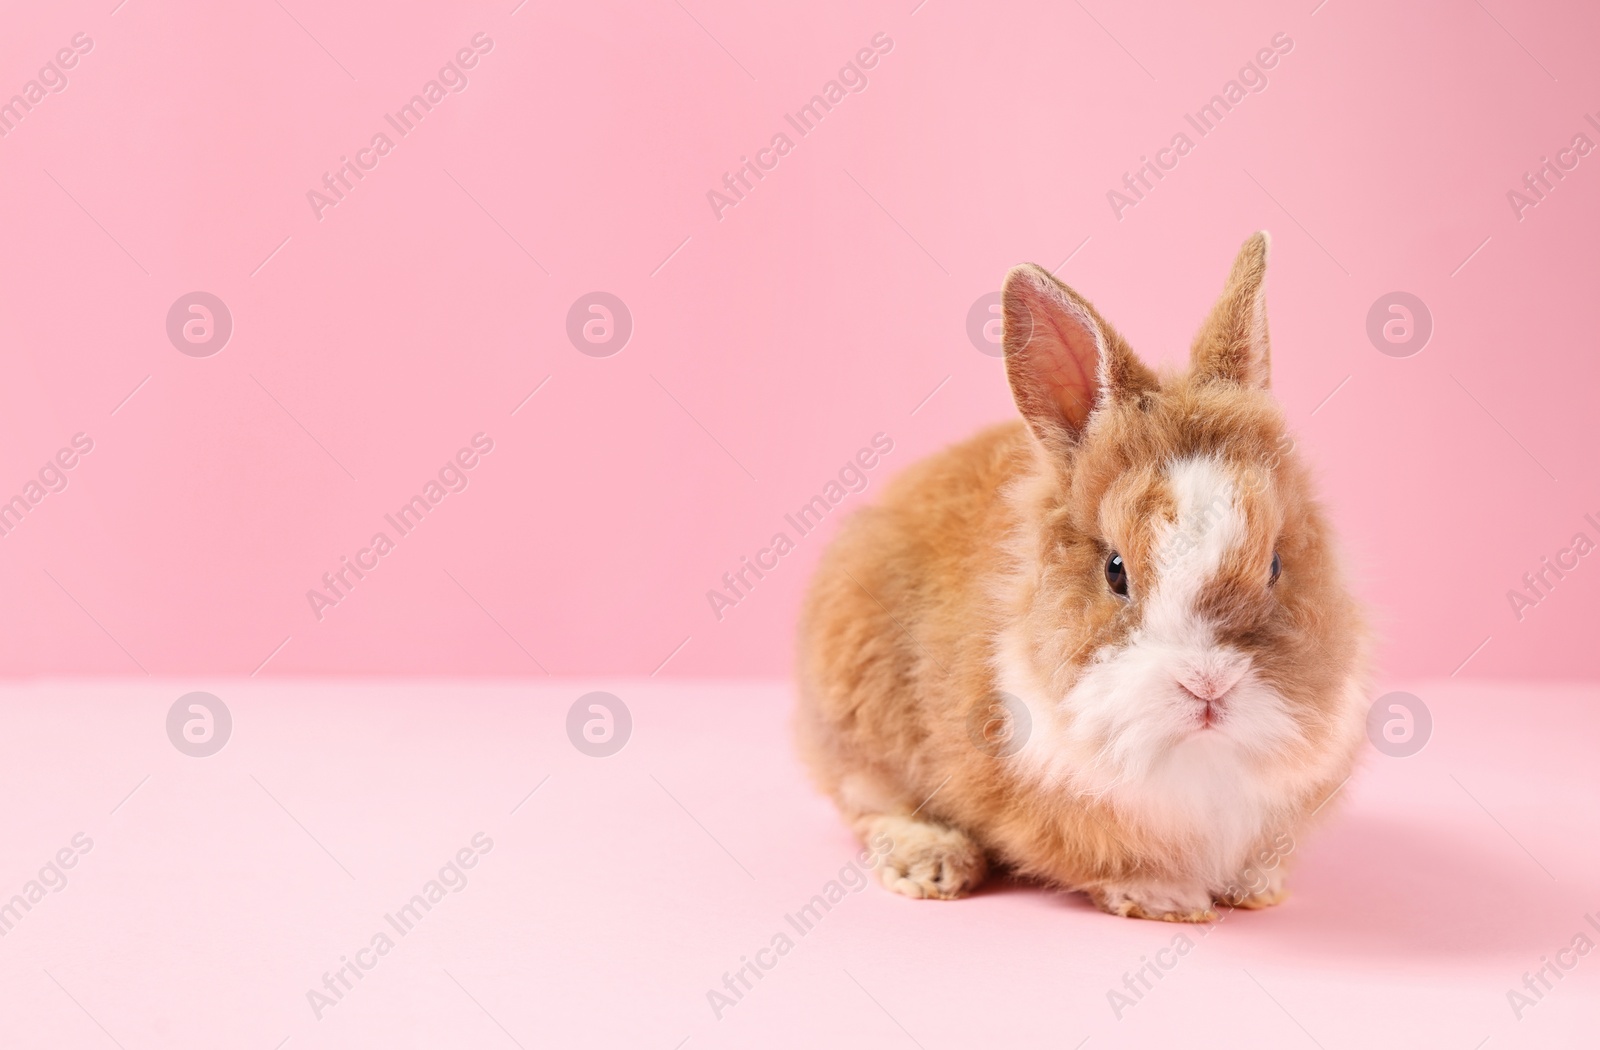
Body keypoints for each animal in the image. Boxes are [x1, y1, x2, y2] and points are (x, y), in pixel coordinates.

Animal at [793, 232, 1369, 921]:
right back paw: (933, 863)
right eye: (1115, 571)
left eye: (1277, 564)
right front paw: (1169, 900)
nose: (1207, 685)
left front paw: (1258, 889)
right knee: (868, 800)